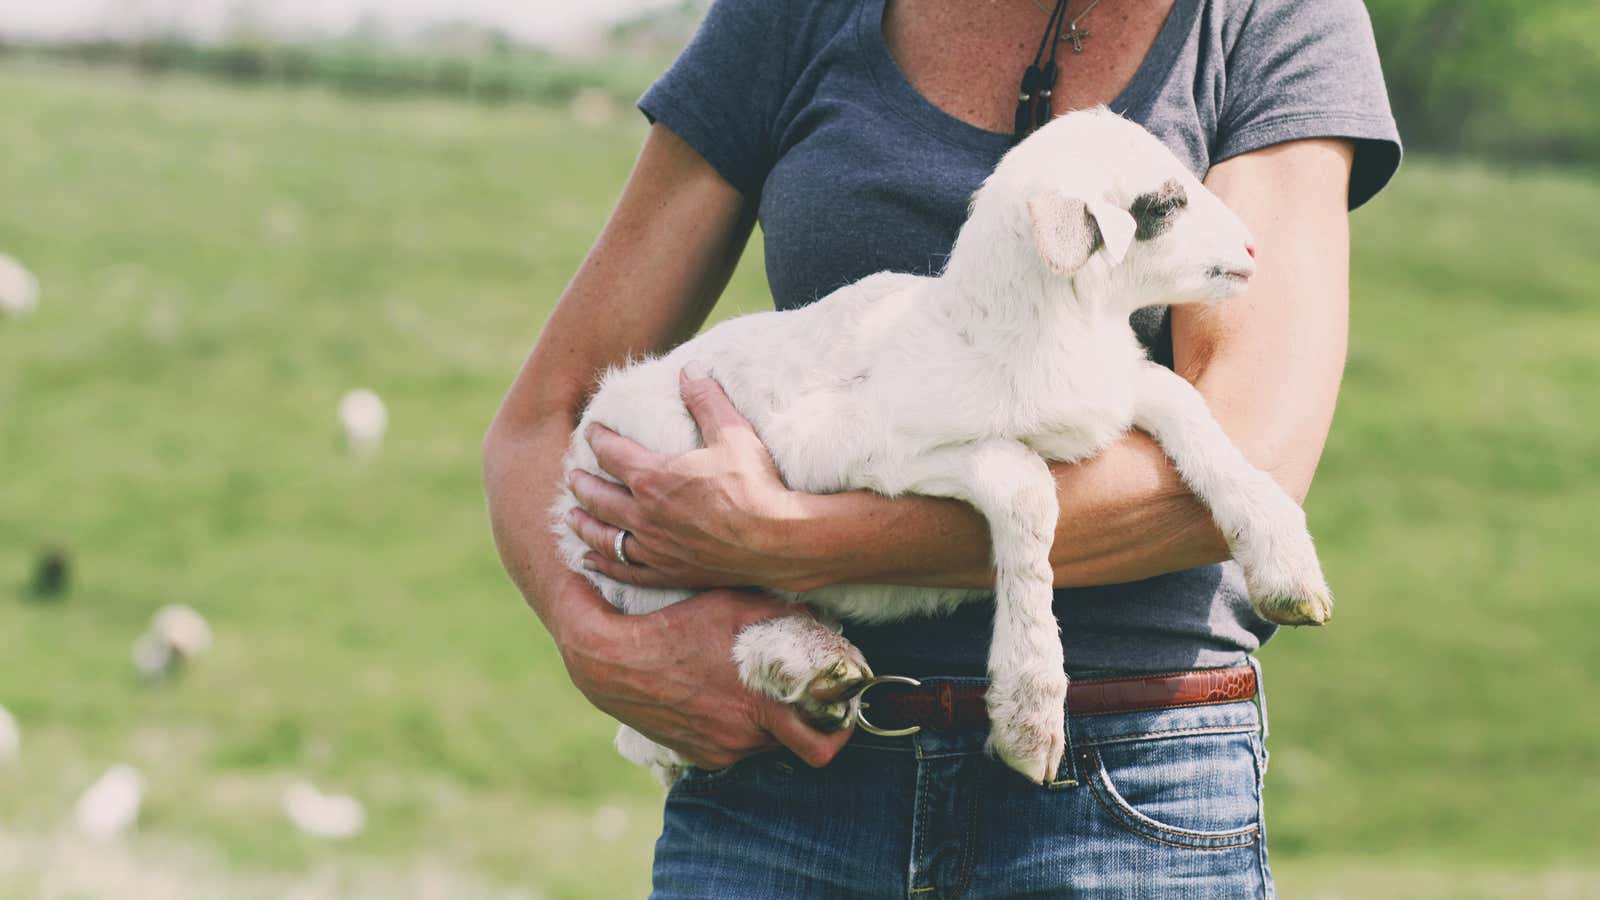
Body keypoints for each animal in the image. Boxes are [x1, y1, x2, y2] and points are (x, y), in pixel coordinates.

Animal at [556, 106, 1331, 784]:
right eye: (1163, 204)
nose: (1254, 251)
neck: (1028, 333)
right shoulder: (846, 446)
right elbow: (1025, 483)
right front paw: (1029, 709)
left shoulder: (1110, 396)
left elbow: (1186, 405)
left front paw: (1284, 563)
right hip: (648, 506)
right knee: (672, 655)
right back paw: (801, 656)